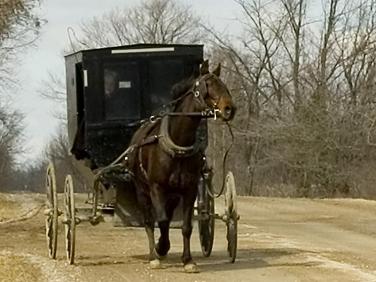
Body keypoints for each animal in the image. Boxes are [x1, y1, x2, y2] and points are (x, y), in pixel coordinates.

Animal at [127, 60, 235, 274]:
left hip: (173, 195)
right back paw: (154, 254)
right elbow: (160, 221)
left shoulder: (188, 190)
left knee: (167, 218)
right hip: (142, 190)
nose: (230, 109)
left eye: (224, 85)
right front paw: (160, 249)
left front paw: (188, 260)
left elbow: (185, 227)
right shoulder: (157, 188)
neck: (177, 144)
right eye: (208, 85)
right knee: (149, 221)